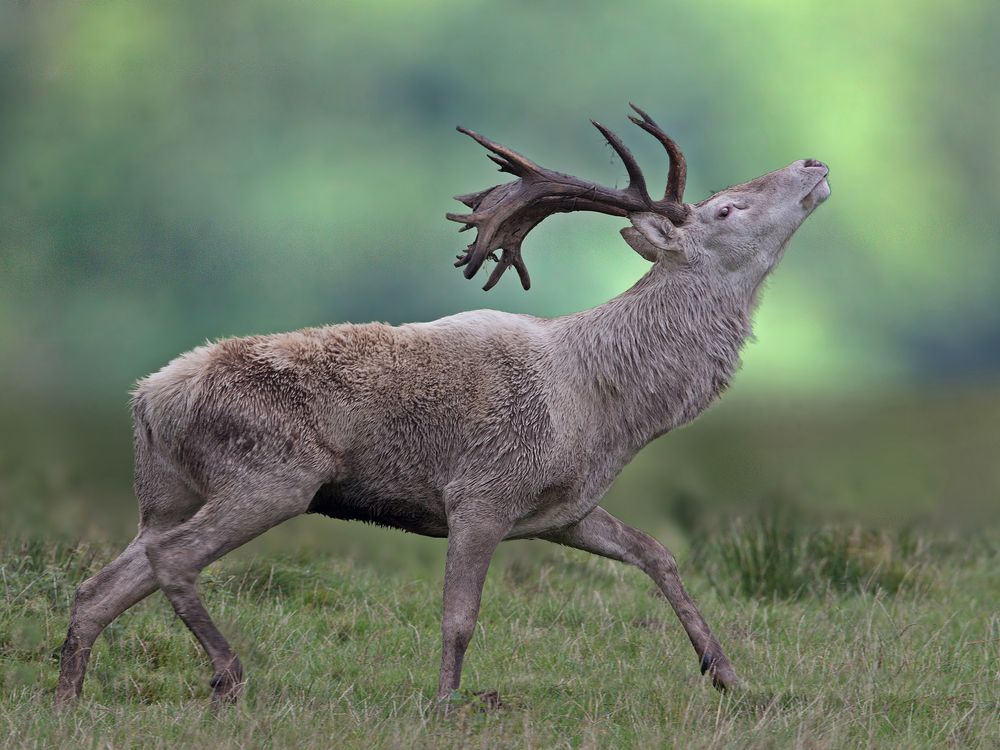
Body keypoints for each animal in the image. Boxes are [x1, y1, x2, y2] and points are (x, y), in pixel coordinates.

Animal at [58, 104, 832, 704]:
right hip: (272, 474)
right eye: (725, 207)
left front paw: (727, 674)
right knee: (174, 562)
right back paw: (227, 674)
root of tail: (147, 400)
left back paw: (68, 699)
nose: (813, 162)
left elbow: (658, 554)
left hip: (170, 495)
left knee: (100, 587)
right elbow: (459, 617)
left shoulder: (564, 509)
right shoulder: (481, 493)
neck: (606, 410)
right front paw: (447, 704)